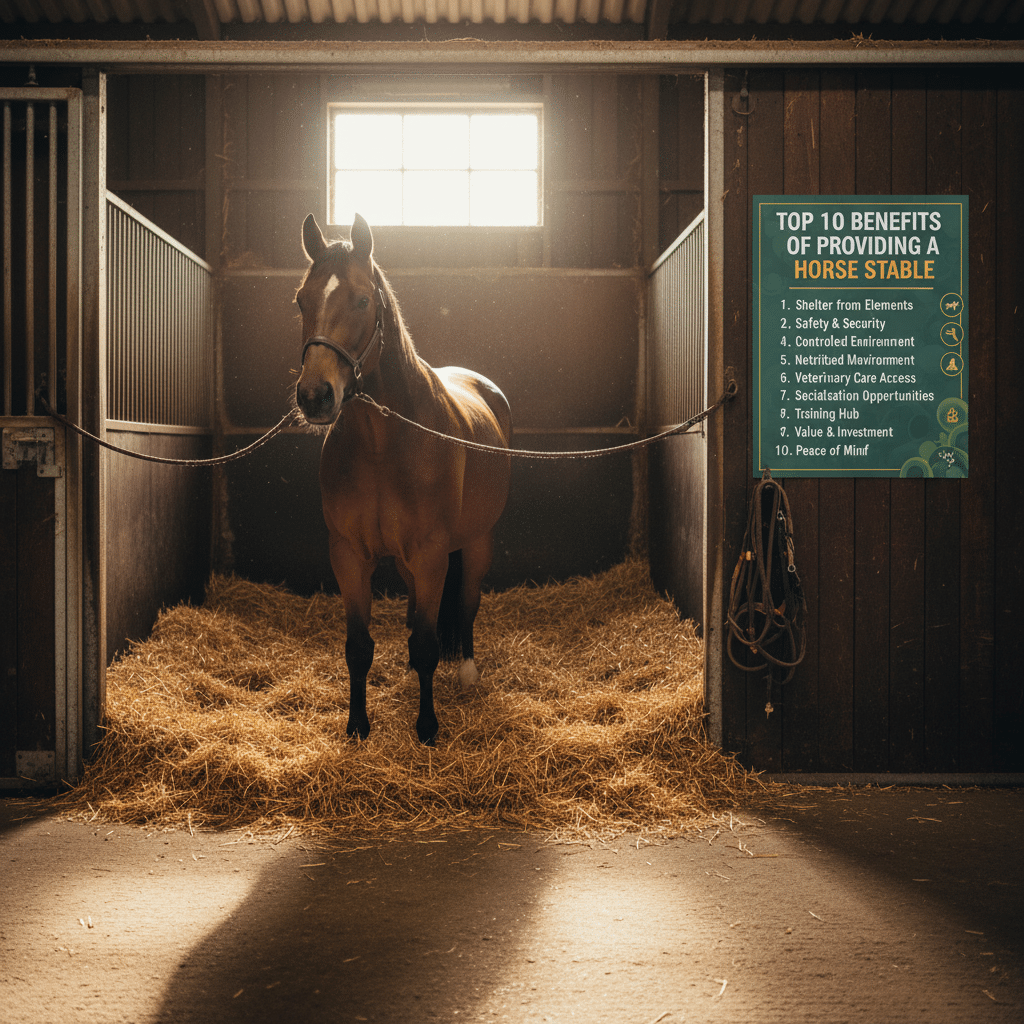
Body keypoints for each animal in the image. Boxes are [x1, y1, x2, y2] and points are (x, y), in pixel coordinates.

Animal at [293, 213, 513, 745]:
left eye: (362, 300)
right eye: (301, 301)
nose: (314, 397)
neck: (382, 444)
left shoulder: (433, 555)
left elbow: (431, 643)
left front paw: (427, 728)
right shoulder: (350, 556)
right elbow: (360, 646)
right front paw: (357, 726)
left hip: (476, 543)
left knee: (467, 601)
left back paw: (467, 671)